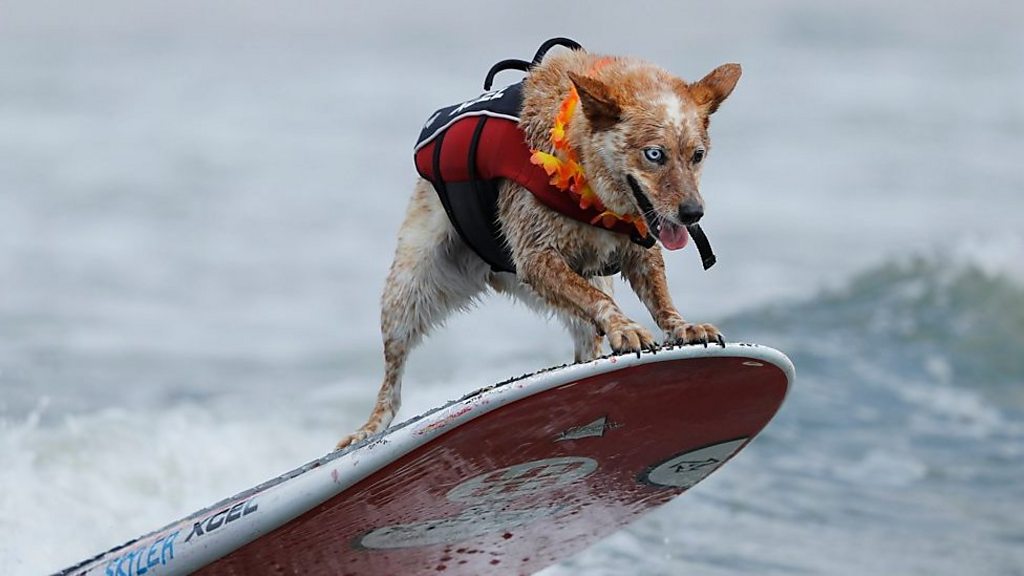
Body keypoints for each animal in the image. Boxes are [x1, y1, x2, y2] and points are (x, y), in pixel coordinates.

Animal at [339, 45, 741, 448]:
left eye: (697, 155)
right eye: (654, 154)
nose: (693, 213)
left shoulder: (640, 247)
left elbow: (659, 297)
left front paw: (682, 326)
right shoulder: (537, 258)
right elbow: (600, 302)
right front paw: (625, 327)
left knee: (585, 339)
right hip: (409, 289)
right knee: (393, 378)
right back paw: (368, 430)